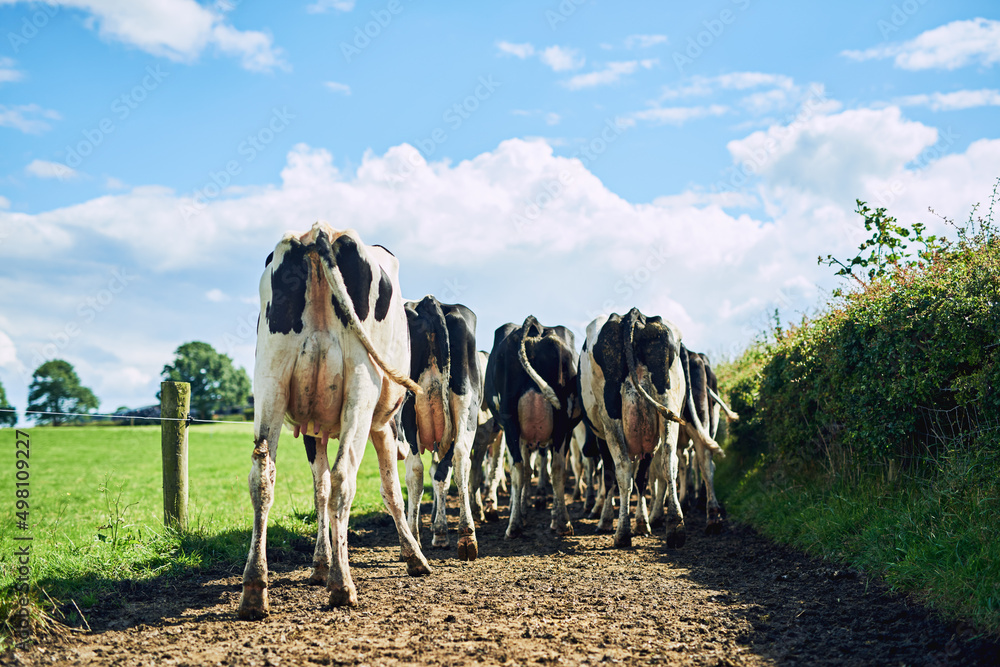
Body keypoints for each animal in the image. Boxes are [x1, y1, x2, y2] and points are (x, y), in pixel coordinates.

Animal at [243, 226, 434, 620]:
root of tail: (319, 233)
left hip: (270, 381)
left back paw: (254, 587)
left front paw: (319, 563)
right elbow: (390, 490)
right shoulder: (383, 426)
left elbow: (319, 490)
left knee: (261, 477)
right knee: (345, 475)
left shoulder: (311, 429)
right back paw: (342, 586)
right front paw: (414, 556)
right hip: (362, 387)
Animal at [394, 294, 480, 560]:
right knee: (460, 459)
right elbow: (441, 475)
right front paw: (440, 533)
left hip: (409, 412)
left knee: (415, 472)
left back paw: (413, 538)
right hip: (466, 401)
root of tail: (428, 301)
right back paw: (466, 536)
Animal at [482, 316, 580, 540]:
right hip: (562, 420)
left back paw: (515, 525)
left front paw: (522, 508)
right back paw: (562, 523)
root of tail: (537, 329)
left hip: (511, 420)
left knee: (519, 469)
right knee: (557, 467)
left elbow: (526, 471)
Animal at [580, 310, 728, 552]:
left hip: (611, 417)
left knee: (623, 469)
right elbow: (643, 477)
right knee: (686, 460)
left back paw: (623, 533)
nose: (586, 450)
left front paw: (606, 520)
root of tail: (634, 314)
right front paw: (643, 522)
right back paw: (690, 523)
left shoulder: (603, 437)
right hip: (676, 409)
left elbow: (614, 477)